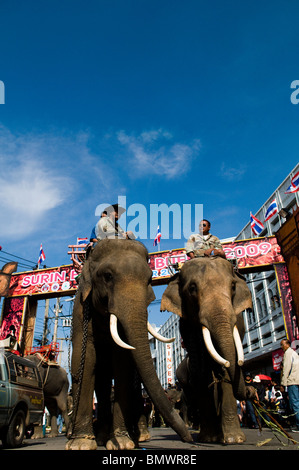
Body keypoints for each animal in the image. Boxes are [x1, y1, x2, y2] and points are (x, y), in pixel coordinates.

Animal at [66, 241, 193, 450]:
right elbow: (83, 361)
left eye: (150, 279)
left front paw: (124, 443)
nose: (189, 439)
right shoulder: (80, 311)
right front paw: (80, 444)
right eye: (108, 276)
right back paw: (101, 437)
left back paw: (140, 436)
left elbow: (122, 363)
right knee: (102, 385)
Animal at [161, 255, 256, 442]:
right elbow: (202, 371)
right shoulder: (187, 328)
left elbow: (226, 368)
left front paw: (234, 440)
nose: (251, 391)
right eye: (192, 288)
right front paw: (209, 439)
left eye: (233, 286)